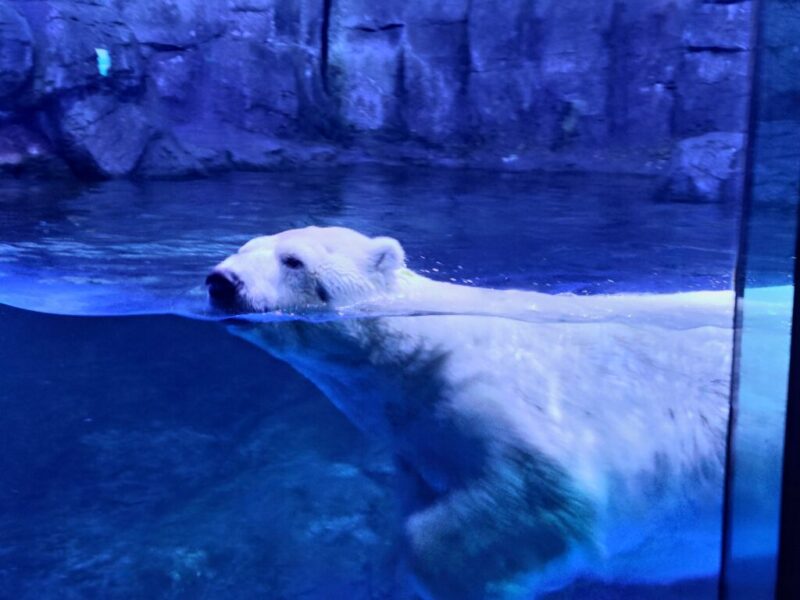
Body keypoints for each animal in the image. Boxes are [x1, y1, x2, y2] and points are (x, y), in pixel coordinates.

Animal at [208, 226, 736, 600]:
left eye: (293, 259)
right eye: (243, 247)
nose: (221, 281)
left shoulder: (496, 387)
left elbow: (547, 483)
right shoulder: (417, 440)